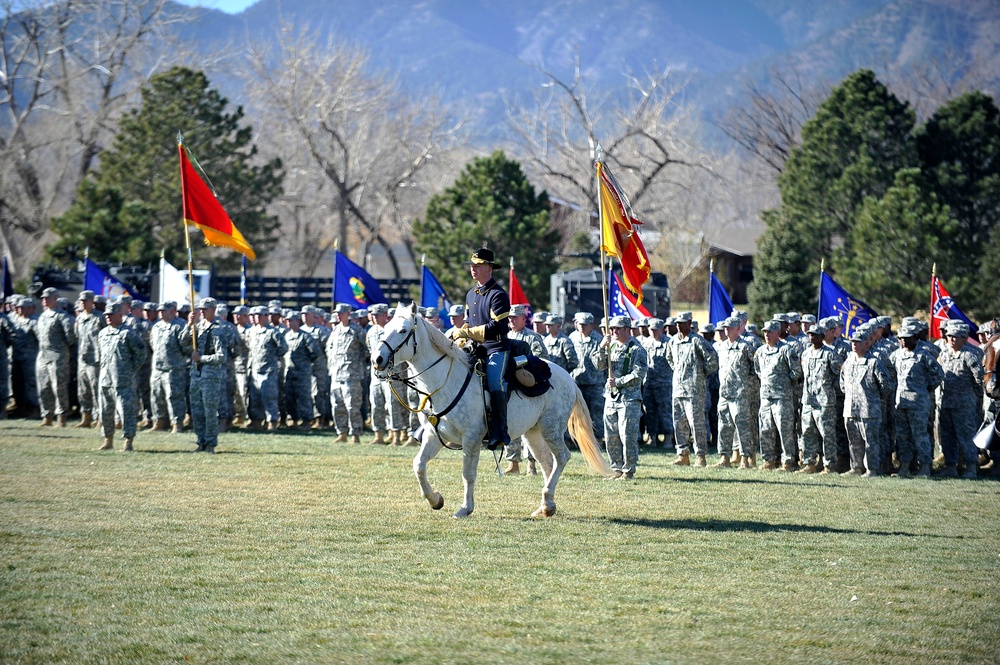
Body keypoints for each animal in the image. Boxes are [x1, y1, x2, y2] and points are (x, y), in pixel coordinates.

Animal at [374, 302, 612, 520]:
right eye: (385, 329)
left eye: (403, 330)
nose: (377, 360)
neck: (444, 381)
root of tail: (567, 377)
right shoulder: (434, 436)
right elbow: (419, 465)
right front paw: (435, 500)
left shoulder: (471, 438)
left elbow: (468, 474)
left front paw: (465, 508)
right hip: (533, 433)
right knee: (547, 462)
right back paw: (546, 506)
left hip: (551, 429)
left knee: (562, 457)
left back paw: (547, 501)